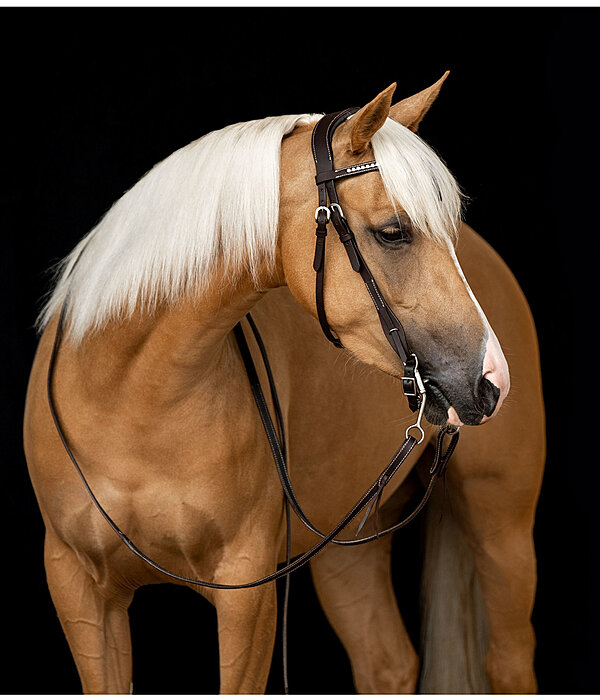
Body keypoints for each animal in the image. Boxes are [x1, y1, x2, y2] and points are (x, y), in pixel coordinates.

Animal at [25, 78, 548, 696]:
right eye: (393, 232)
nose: (493, 380)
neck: (131, 402)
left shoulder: (247, 592)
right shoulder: (79, 587)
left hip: (502, 524)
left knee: (508, 662)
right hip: (349, 545)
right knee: (387, 661)